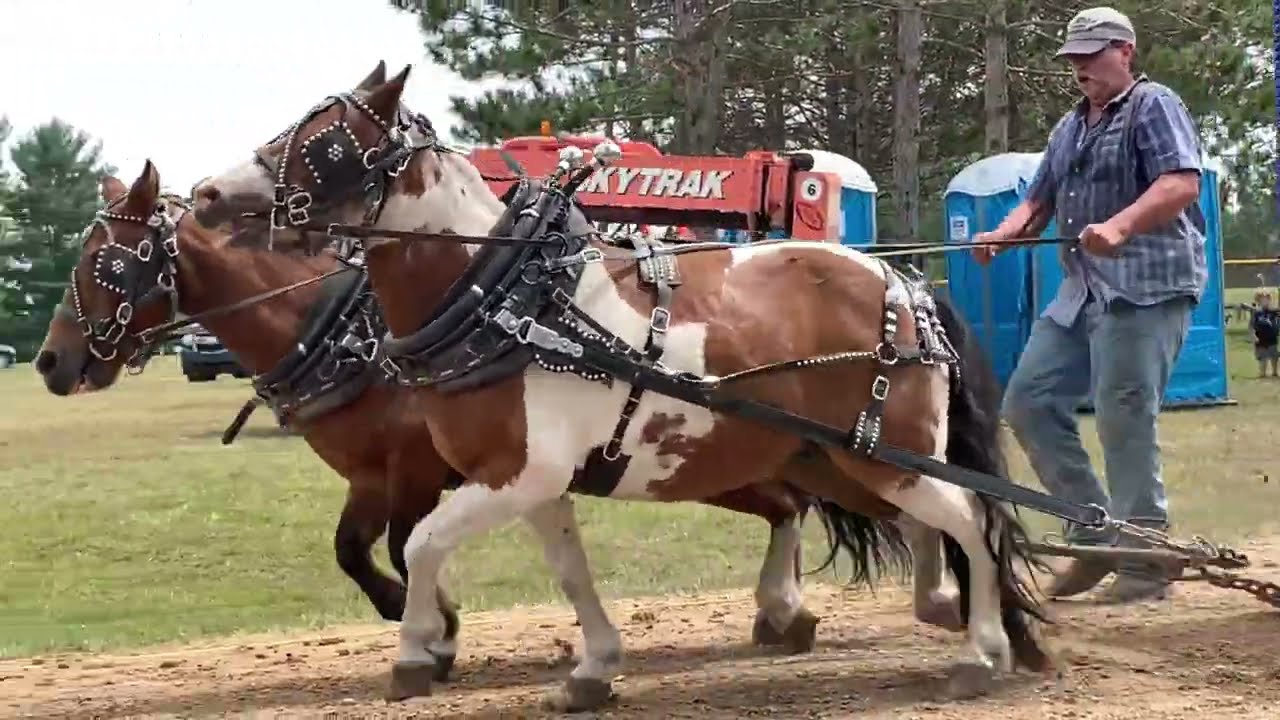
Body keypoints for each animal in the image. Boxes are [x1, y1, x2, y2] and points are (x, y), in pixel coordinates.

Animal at [32, 158, 913, 695]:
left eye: (107, 264)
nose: (48, 362)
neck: (335, 327)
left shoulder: (422, 471)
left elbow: (397, 546)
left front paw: (436, 629)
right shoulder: (372, 477)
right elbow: (352, 550)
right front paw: (419, 620)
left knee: (794, 507)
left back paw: (790, 608)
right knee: (788, 507)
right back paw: (782, 612)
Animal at [191, 63, 1053, 710]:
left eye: (324, 142)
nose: (205, 195)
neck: (509, 301)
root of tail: (901, 282)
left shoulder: (511, 473)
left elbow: (426, 543)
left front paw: (413, 653)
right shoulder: (532, 483)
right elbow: (569, 570)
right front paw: (594, 667)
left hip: (885, 454)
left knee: (972, 518)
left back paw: (982, 649)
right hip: (838, 459)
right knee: (928, 524)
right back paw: (944, 611)